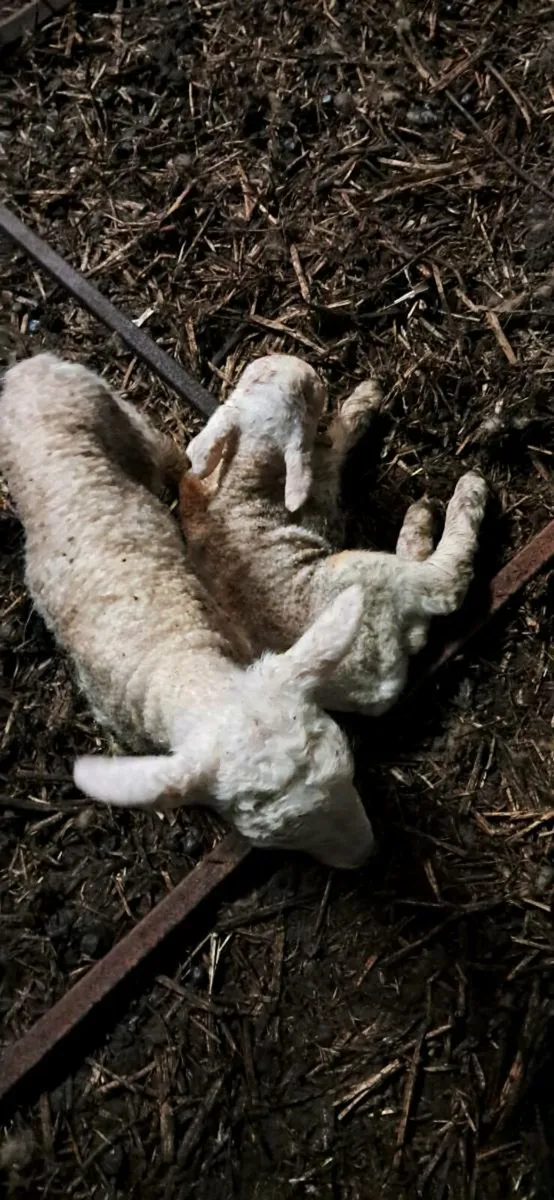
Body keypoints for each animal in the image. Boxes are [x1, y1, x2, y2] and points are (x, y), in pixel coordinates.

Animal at [0, 352, 375, 869]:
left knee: (156, 450)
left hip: (112, 407)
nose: (369, 855)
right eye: (277, 839)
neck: (176, 657)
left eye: (350, 767)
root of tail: (30, 365)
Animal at [180, 354, 489, 716]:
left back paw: (419, 521)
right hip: (370, 576)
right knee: (447, 580)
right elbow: (335, 446)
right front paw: (365, 400)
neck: (245, 467)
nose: (305, 369)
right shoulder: (323, 498)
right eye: (303, 398)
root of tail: (374, 687)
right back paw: (467, 493)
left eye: (255, 378)